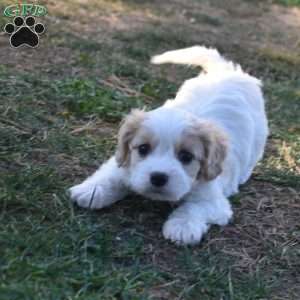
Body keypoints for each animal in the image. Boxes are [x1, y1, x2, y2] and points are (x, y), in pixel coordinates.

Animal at [69, 45, 268, 245]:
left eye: (186, 157)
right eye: (143, 149)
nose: (158, 177)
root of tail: (228, 71)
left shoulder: (213, 200)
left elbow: (194, 207)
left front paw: (182, 227)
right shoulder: (125, 161)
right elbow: (111, 173)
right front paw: (91, 191)